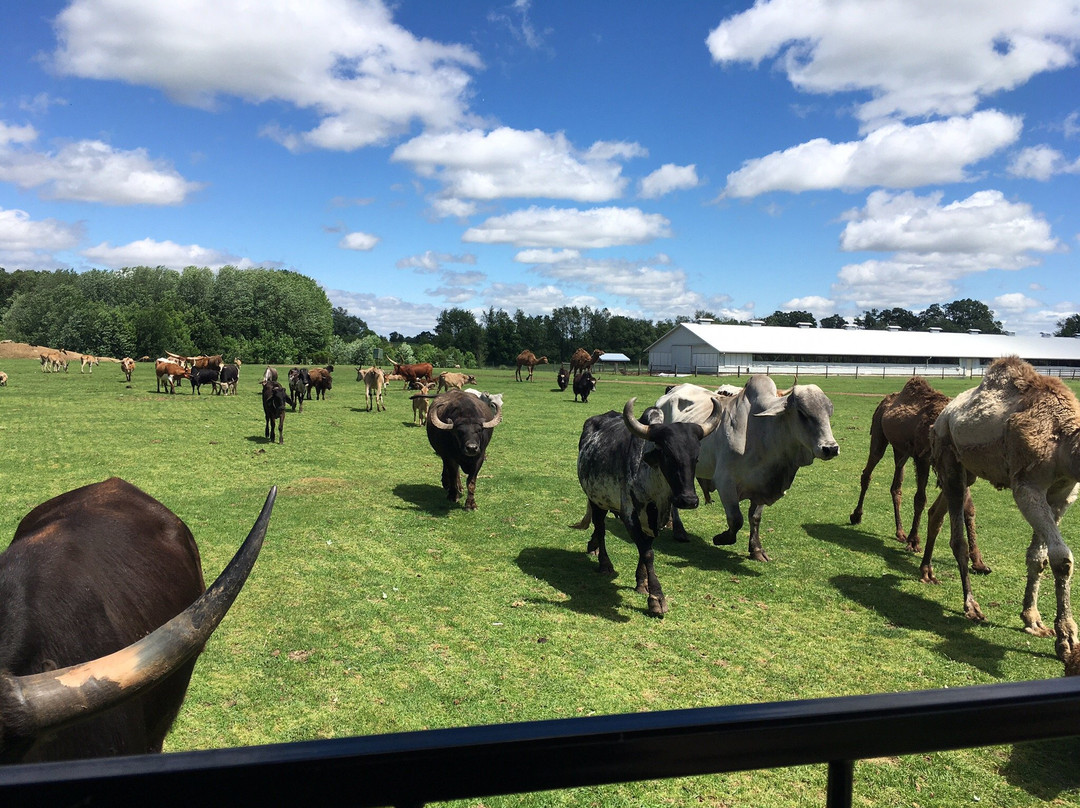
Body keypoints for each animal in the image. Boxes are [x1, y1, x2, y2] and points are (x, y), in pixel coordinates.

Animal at [574, 399, 717, 617]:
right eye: (667, 454)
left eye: (696, 457)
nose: (688, 500)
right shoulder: (630, 515)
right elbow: (647, 552)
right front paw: (656, 598)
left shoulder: (653, 520)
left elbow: (645, 548)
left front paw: (642, 582)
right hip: (596, 499)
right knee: (600, 528)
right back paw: (604, 563)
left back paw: (593, 547)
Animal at [656, 378, 842, 561]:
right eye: (802, 413)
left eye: (829, 413)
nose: (831, 448)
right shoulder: (725, 482)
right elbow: (736, 519)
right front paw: (721, 538)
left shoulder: (762, 484)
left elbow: (755, 517)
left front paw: (756, 549)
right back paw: (679, 530)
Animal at [846, 378, 989, 578]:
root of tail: (885, 401)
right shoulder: (923, 458)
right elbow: (920, 499)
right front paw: (914, 541)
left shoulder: (960, 473)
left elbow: (969, 508)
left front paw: (979, 562)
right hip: (878, 434)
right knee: (868, 472)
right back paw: (856, 515)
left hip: (900, 451)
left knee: (896, 486)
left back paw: (900, 532)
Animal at [928, 356, 1080, 665]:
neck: (1064, 441)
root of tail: (942, 415)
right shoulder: (1027, 485)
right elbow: (1062, 559)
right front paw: (1068, 642)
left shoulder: (1064, 493)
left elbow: (1038, 557)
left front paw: (1033, 620)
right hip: (949, 454)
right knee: (957, 537)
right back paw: (971, 606)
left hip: (969, 470)